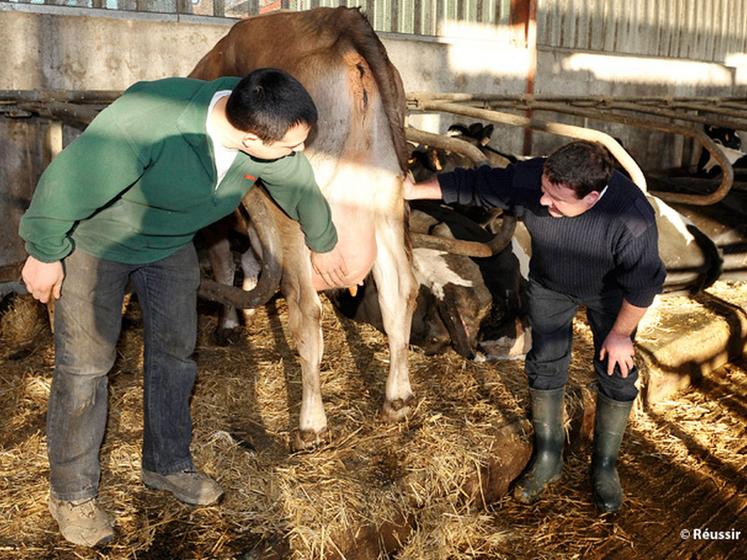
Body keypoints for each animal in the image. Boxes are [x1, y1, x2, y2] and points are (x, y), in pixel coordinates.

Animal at [190, 6, 418, 448]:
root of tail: (342, 23)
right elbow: (252, 261)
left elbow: (226, 265)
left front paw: (228, 323)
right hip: (384, 202)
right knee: (399, 291)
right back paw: (397, 399)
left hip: (295, 212)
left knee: (308, 311)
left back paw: (311, 424)